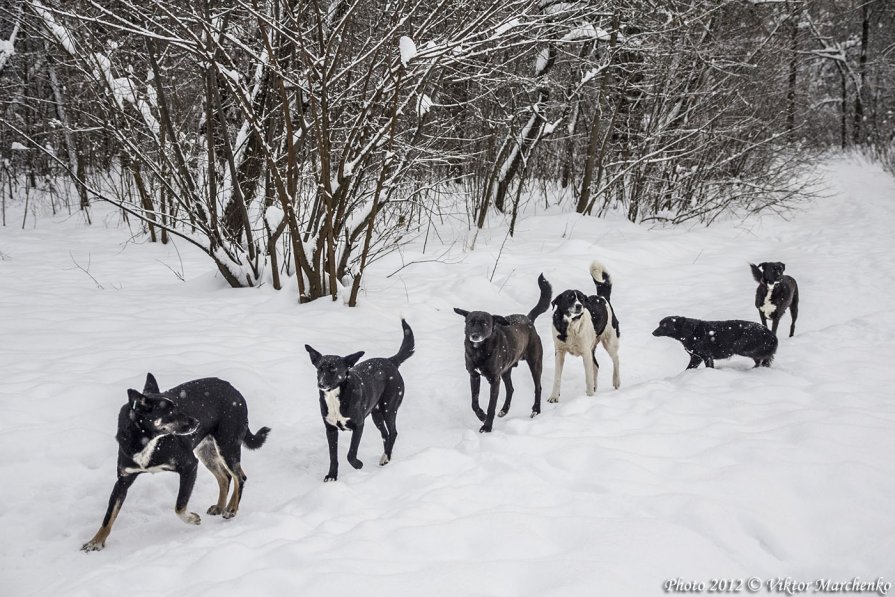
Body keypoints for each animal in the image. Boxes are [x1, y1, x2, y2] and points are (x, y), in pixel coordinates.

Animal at [81, 374, 270, 552]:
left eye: (179, 407)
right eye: (170, 413)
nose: (197, 422)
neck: (147, 439)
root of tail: (234, 390)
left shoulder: (189, 465)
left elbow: (179, 505)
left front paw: (192, 518)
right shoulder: (123, 480)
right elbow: (108, 516)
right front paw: (95, 542)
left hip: (227, 445)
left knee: (239, 477)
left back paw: (231, 509)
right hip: (206, 451)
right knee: (225, 477)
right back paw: (220, 506)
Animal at [304, 318, 416, 482]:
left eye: (333, 369)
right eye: (319, 368)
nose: (321, 384)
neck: (335, 397)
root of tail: (390, 361)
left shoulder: (358, 425)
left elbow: (350, 453)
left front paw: (358, 465)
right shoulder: (330, 429)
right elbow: (333, 456)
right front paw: (332, 476)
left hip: (389, 408)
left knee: (393, 432)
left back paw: (387, 457)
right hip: (376, 414)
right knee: (385, 434)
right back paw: (385, 456)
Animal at [456, 272, 552, 430]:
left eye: (485, 323)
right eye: (470, 322)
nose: (474, 335)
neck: (480, 350)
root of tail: (528, 320)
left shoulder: (495, 380)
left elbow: (491, 406)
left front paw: (487, 426)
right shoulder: (473, 375)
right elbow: (474, 403)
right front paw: (481, 416)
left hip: (535, 363)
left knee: (538, 387)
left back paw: (536, 410)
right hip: (507, 370)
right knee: (511, 389)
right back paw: (504, 410)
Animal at [544, 260, 624, 402]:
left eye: (581, 299)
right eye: (569, 298)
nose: (579, 306)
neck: (571, 325)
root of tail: (602, 297)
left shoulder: (585, 353)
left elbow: (588, 377)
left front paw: (590, 397)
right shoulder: (559, 352)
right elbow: (557, 378)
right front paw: (554, 397)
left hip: (610, 341)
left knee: (616, 359)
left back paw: (616, 381)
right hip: (593, 348)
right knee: (596, 366)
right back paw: (595, 387)